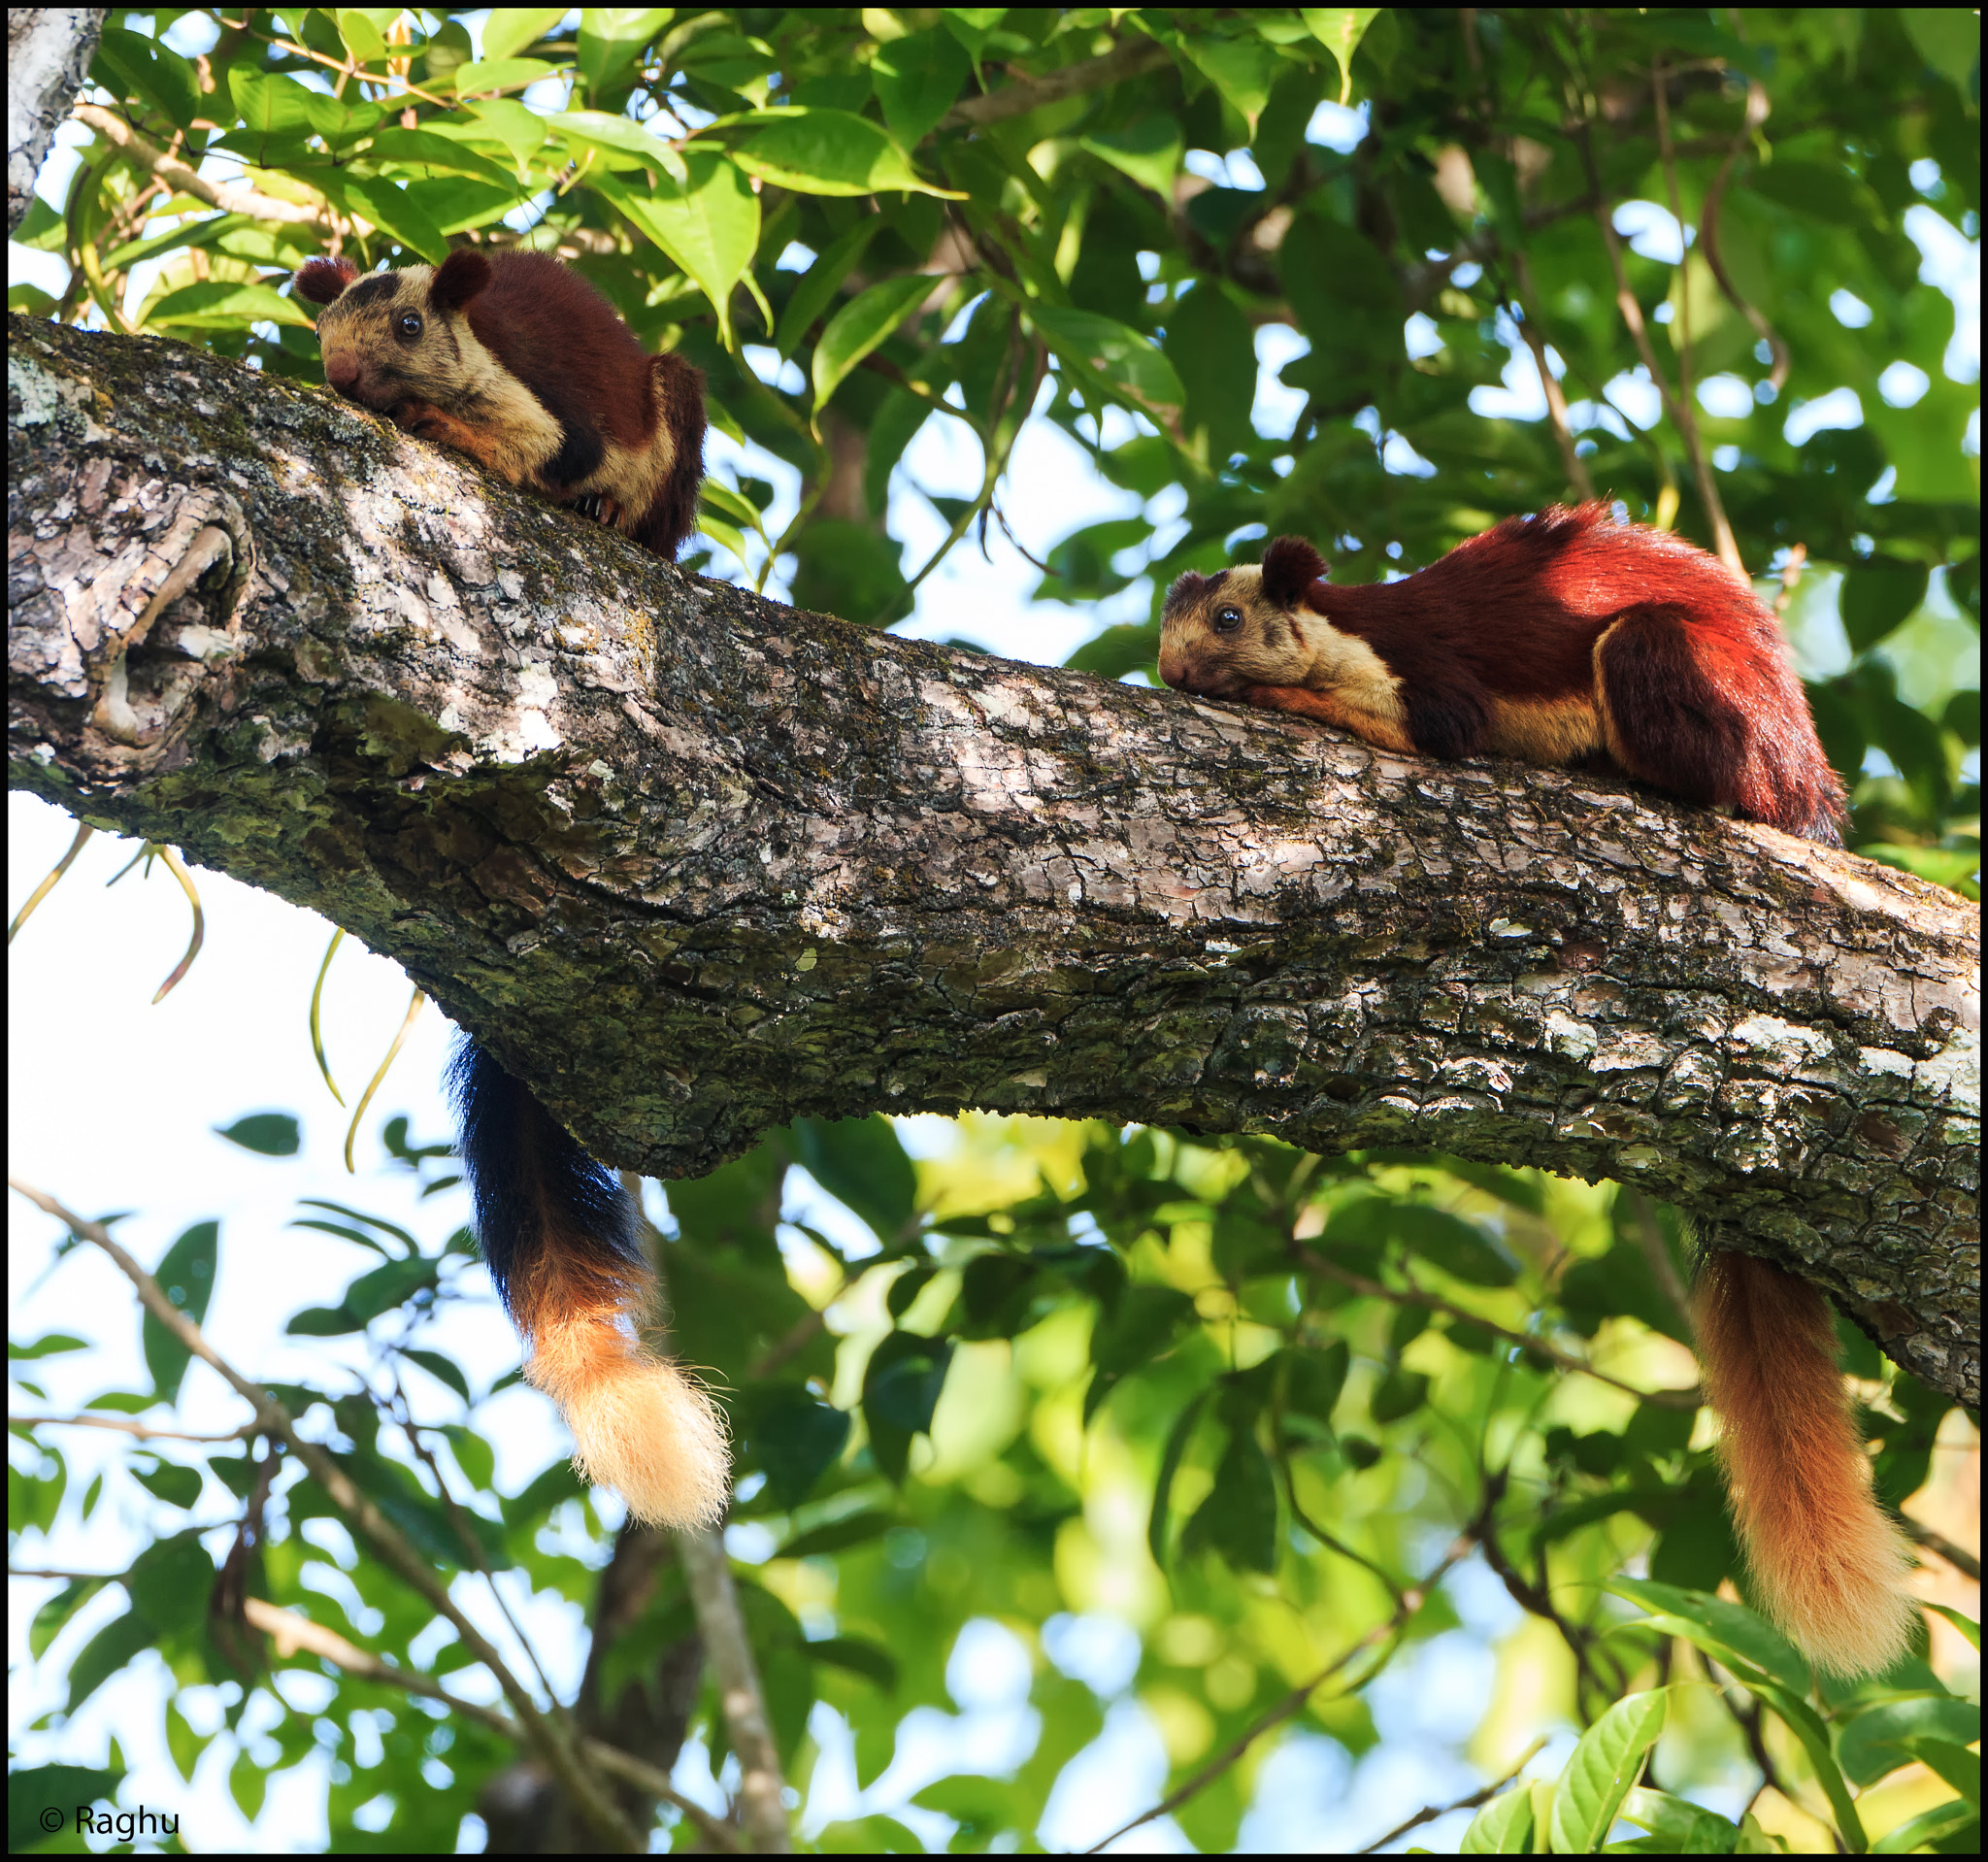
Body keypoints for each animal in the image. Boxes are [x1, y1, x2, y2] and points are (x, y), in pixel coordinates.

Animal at [290, 243, 727, 1526]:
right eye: (323, 328)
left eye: (407, 324)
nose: (346, 377)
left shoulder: (548, 411)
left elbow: (530, 448)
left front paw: (445, 427)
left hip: (670, 408)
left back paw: (622, 526)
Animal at [1161, 504, 1916, 1669]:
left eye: (1231, 619)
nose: (1169, 669)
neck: (1342, 626)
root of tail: (1811, 796)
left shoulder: (1429, 679)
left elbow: (1432, 730)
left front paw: (1269, 698)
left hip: (1679, 675)